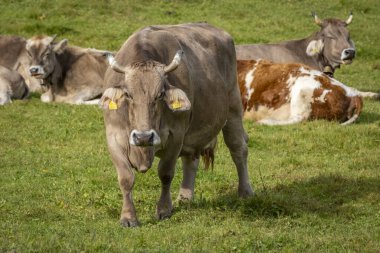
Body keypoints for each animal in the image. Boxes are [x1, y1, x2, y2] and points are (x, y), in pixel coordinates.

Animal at [99, 22, 254, 227]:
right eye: (128, 95)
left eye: (160, 95)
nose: (143, 137)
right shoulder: (113, 137)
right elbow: (126, 178)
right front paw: (128, 217)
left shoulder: (176, 136)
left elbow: (165, 173)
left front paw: (164, 209)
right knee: (191, 160)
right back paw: (185, 197)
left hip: (233, 107)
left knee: (238, 149)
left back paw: (245, 191)